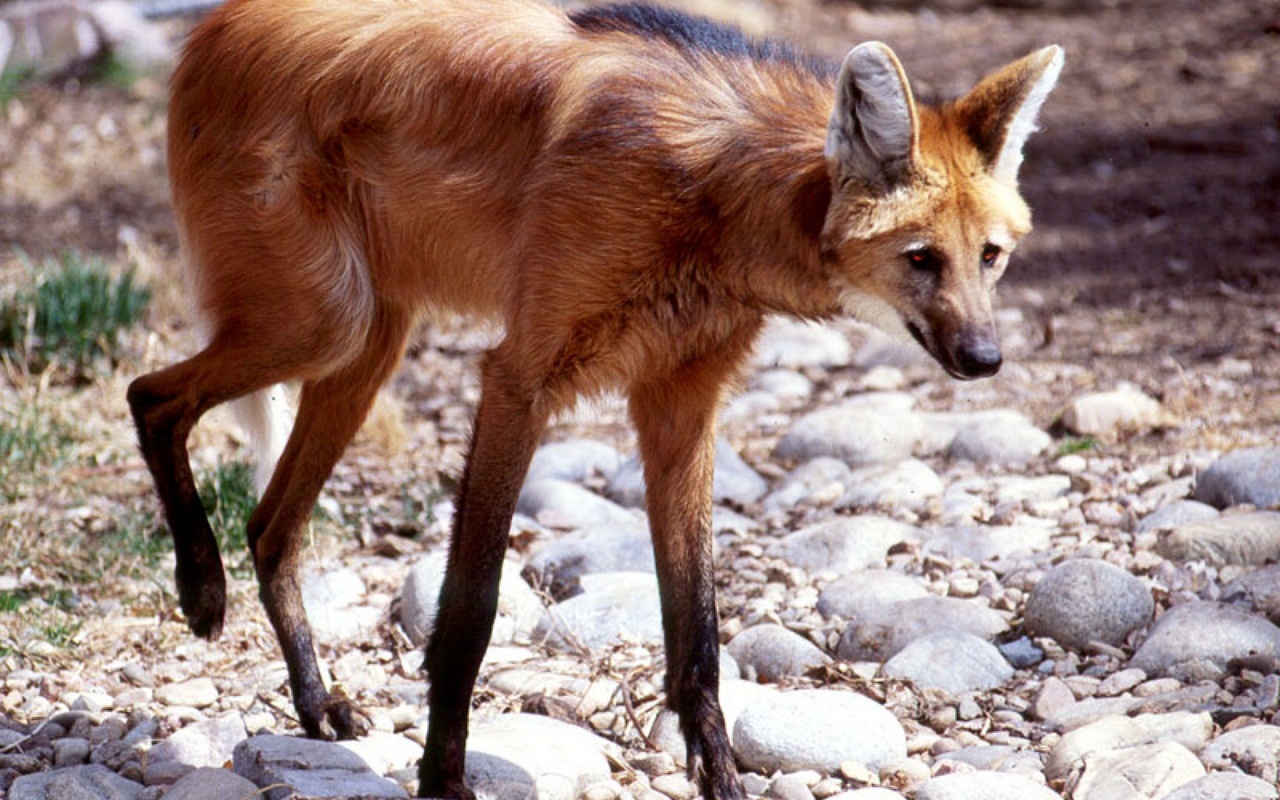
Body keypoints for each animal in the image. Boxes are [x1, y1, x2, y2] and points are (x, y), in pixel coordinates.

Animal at [129, 3, 1064, 793]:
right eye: (921, 259)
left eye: (990, 257)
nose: (985, 358)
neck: (718, 201)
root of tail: (214, 26)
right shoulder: (520, 379)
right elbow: (470, 614)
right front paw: (442, 781)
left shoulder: (681, 405)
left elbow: (698, 632)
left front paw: (721, 780)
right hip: (324, 323)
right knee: (152, 397)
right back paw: (201, 591)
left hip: (367, 344)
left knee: (269, 523)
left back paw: (315, 703)